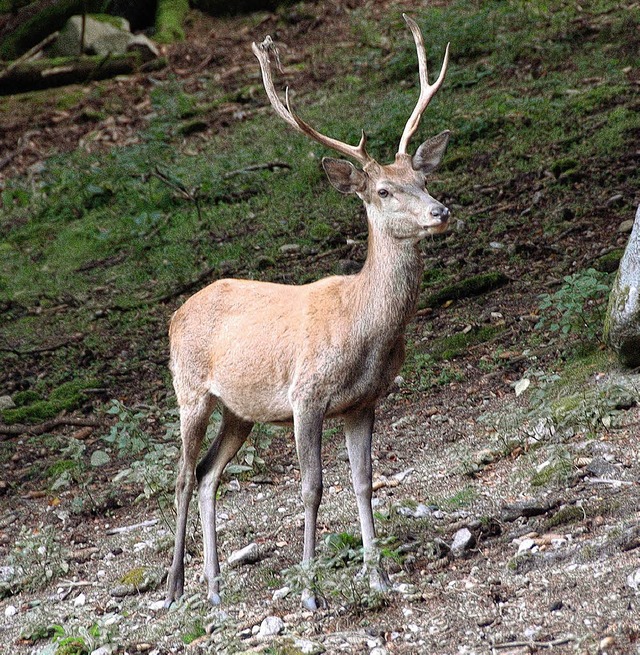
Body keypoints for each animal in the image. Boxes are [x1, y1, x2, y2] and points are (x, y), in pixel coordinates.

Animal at [166, 14, 450, 608]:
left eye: (424, 180)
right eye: (383, 190)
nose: (441, 211)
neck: (364, 332)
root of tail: (175, 315)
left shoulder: (364, 401)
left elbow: (364, 480)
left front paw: (379, 576)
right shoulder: (307, 395)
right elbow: (312, 486)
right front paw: (310, 590)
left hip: (241, 410)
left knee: (207, 474)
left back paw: (215, 588)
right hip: (190, 391)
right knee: (180, 475)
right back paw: (175, 586)